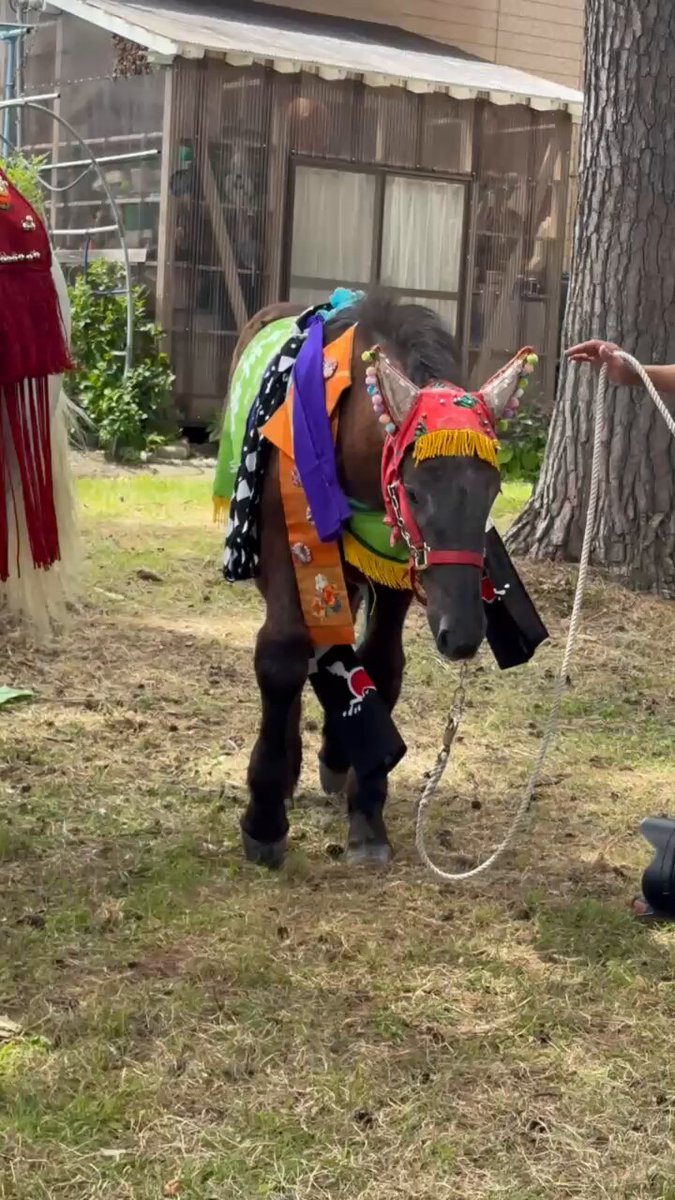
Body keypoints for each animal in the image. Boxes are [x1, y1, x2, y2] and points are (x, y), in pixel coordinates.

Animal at [224, 294, 529, 868]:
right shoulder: (287, 556)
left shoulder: (392, 574)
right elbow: (280, 659)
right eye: (413, 491)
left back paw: (335, 758)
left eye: (494, 490)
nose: (463, 633)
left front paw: (366, 811)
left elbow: (383, 665)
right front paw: (264, 817)